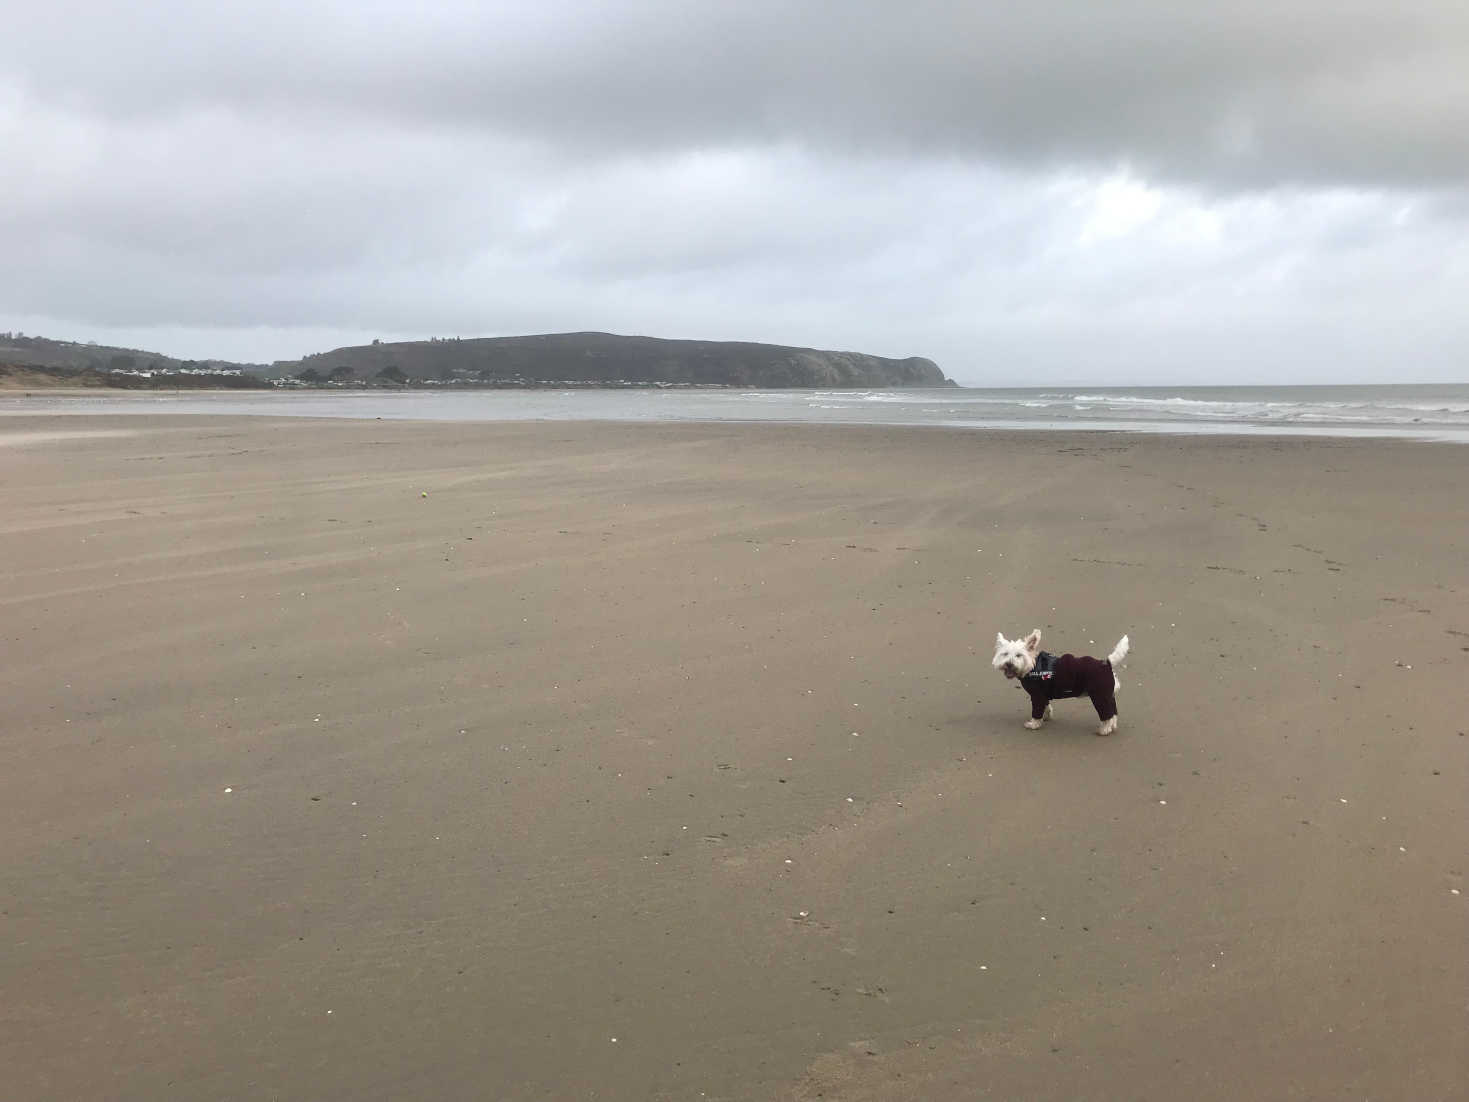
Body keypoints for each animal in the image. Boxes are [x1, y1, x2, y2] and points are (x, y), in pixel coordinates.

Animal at [993, 634, 1128, 737]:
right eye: (1005, 654)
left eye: (1019, 655)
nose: (1009, 664)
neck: (1032, 666)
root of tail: (1107, 663)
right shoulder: (1043, 695)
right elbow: (1046, 706)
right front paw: (1046, 717)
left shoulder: (1037, 696)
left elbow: (1037, 711)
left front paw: (1034, 724)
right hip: (1108, 695)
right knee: (1113, 713)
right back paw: (1112, 727)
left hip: (1099, 697)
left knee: (1107, 714)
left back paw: (1104, 730)